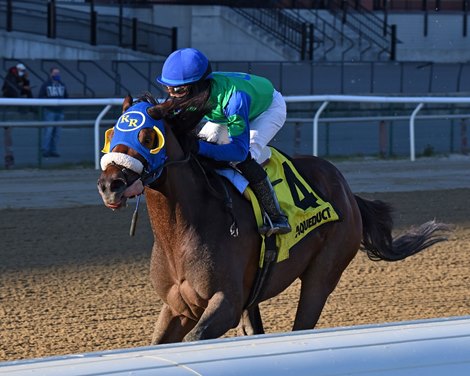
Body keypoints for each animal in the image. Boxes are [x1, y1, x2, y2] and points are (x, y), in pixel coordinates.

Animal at [98, 95, 448, 346]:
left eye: (148, 136)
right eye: (112, 133)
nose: (110, 184)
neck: (182, 231)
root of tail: (347, 191)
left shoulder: (225, 303)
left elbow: (197, 337)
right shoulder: (176, 307)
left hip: (323, 273)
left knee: (304, 318)